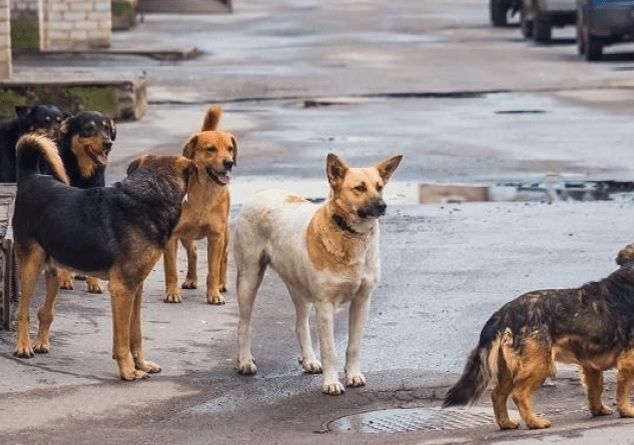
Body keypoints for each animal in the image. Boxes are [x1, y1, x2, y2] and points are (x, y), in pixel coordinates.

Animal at [11, 133, 195, 378]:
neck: (149, 195)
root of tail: (31, 176)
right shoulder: (122, 289)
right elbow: (123, 339)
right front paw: (128, 371)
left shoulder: (135, 288)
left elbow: (135, 334)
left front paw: (141, 364)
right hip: (31, 264)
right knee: (23, 312)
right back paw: (23, 346)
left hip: (55, 269)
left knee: (45, 311)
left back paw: (41, 342)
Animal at [162, 106, 236, 304]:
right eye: (211, 149)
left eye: (230, 149)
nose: (229, 163)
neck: (203, 194)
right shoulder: (172, 237)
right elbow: (171, 270)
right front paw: (172, 293)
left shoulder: (216, 236)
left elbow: (213, 271)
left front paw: (214, 294)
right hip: (186, 235)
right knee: (193, 252)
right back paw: (191, 279)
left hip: (225, 234)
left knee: (224, 257)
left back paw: (221, 283)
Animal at [232, 153, 400, 396]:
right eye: (359, 188)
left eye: (380, 187)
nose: (382, 205)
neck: (349, 234)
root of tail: (261, 193)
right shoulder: (325, 305)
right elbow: (330, 351)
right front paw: (331, 383)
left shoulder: (362, 301)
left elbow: (354, 346)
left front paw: (353, 374)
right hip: (249, 279)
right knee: (244, 324)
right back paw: (245, 361)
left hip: (299, 289)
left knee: (300, 324)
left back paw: (309, 360)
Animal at [442, 245, 634, 428]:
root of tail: (503, 314)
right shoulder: (628, 361)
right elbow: (623, 390)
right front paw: (627, 410)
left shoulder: (590, 364)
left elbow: (595, 389)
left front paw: (598, 410)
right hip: (540, 365)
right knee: (519, 394)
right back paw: (535, 422)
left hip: (509, 369)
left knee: (497, 395)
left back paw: (506, 423)